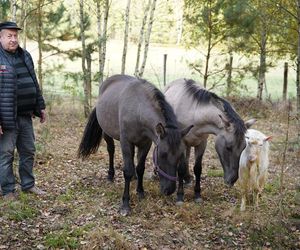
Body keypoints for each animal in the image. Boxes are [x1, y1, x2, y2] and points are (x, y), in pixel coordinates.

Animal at [78, 74, 192, 215]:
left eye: (180, 155)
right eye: (162, 154)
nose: (169, 190)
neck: (138, 109)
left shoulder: (145, 144)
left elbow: (140, 168)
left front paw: (140, 192)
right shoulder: (126, 142)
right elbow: (127, 171)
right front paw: (125, 204)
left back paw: (134, 177)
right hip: (107, 134)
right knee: (111, 151)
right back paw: (110, 175)